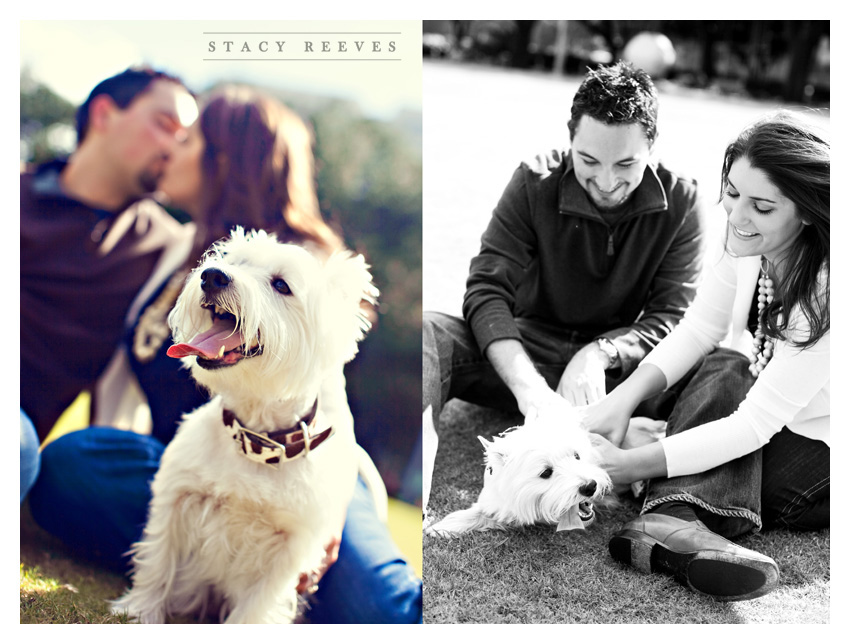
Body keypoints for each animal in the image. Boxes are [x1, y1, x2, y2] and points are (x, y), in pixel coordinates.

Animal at [111, 228, 376, 624]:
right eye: (235, 262)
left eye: (281, 285)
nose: (212, 276)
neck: (257, 438)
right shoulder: (177, 494)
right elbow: (158, 559)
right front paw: (138, 611)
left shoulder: (291, 545)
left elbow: (256, 606)